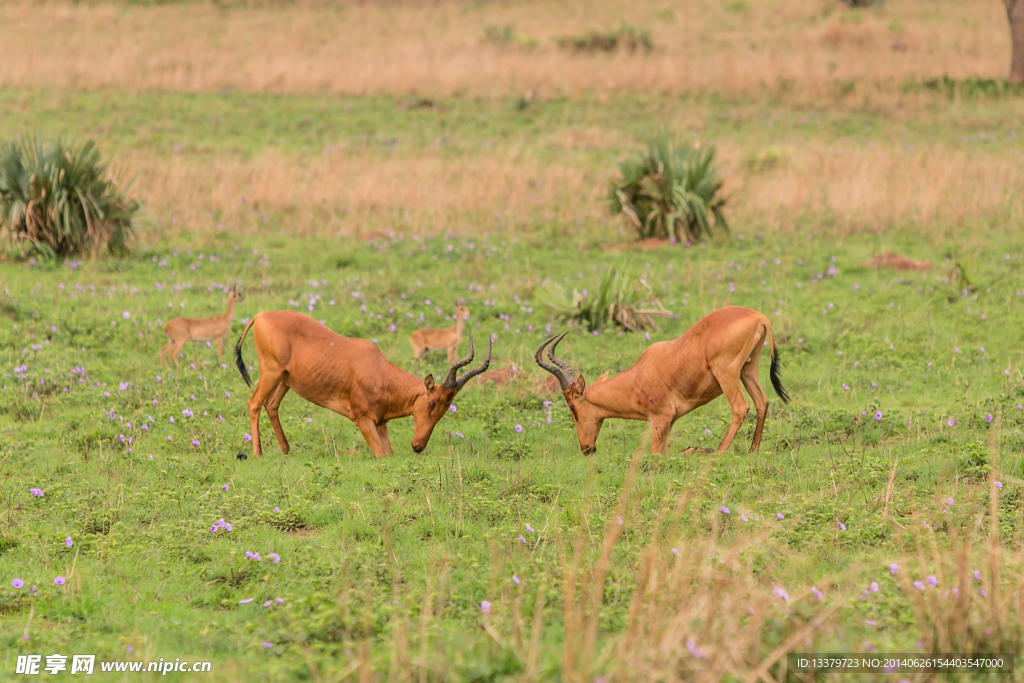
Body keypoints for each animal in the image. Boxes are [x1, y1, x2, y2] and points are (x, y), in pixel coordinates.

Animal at [234, 313, 489, 456]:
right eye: (432, 403)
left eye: (447, 408)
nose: (418, 446)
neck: (379, 371)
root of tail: (261, 315)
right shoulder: (363, 420)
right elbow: (381, 455)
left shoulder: (380, 423)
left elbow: (389, 454)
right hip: (271, 372)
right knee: (254, 403)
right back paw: (258, 454)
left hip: (285, 379)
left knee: (271, 405)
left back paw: (286, 450)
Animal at [536, 307, 790, 456]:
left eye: (572, 407)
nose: (586, 449)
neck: (640, 375)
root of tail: (758, 316)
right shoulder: (668, 424)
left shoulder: (661, 419)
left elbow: (655, 455)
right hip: (748, 370)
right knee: (762, 402)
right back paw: (753, 450)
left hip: (726, 374)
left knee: (740, 407)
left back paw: (718, 452)